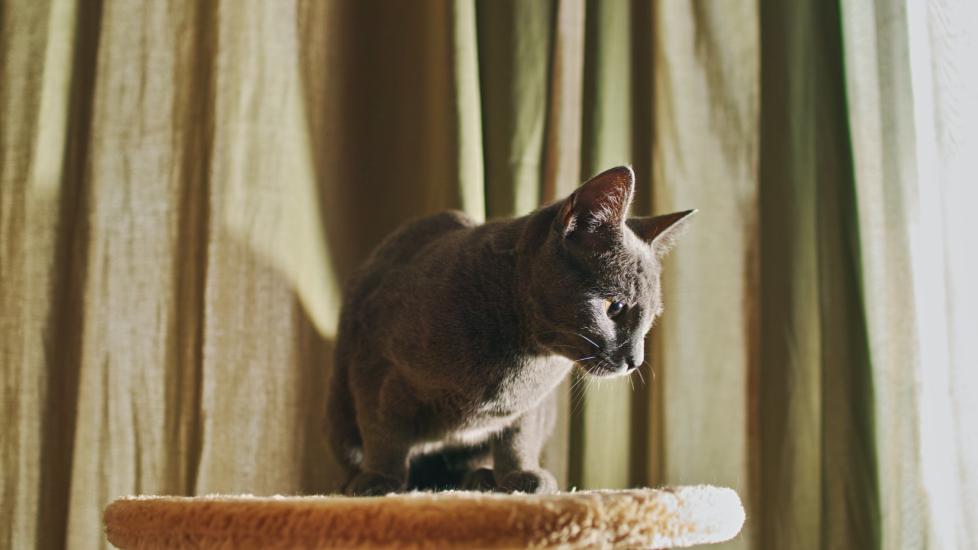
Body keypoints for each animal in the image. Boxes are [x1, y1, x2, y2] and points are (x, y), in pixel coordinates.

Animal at [328, 167, 692, 496]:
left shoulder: (532, 407)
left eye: (651, 319)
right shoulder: (376, 369)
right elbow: (384, 433)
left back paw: (479, 479)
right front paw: (380, 480)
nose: (635, 360)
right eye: (614, 308)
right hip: (339, 410)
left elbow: (518, 438)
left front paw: (520, 476)